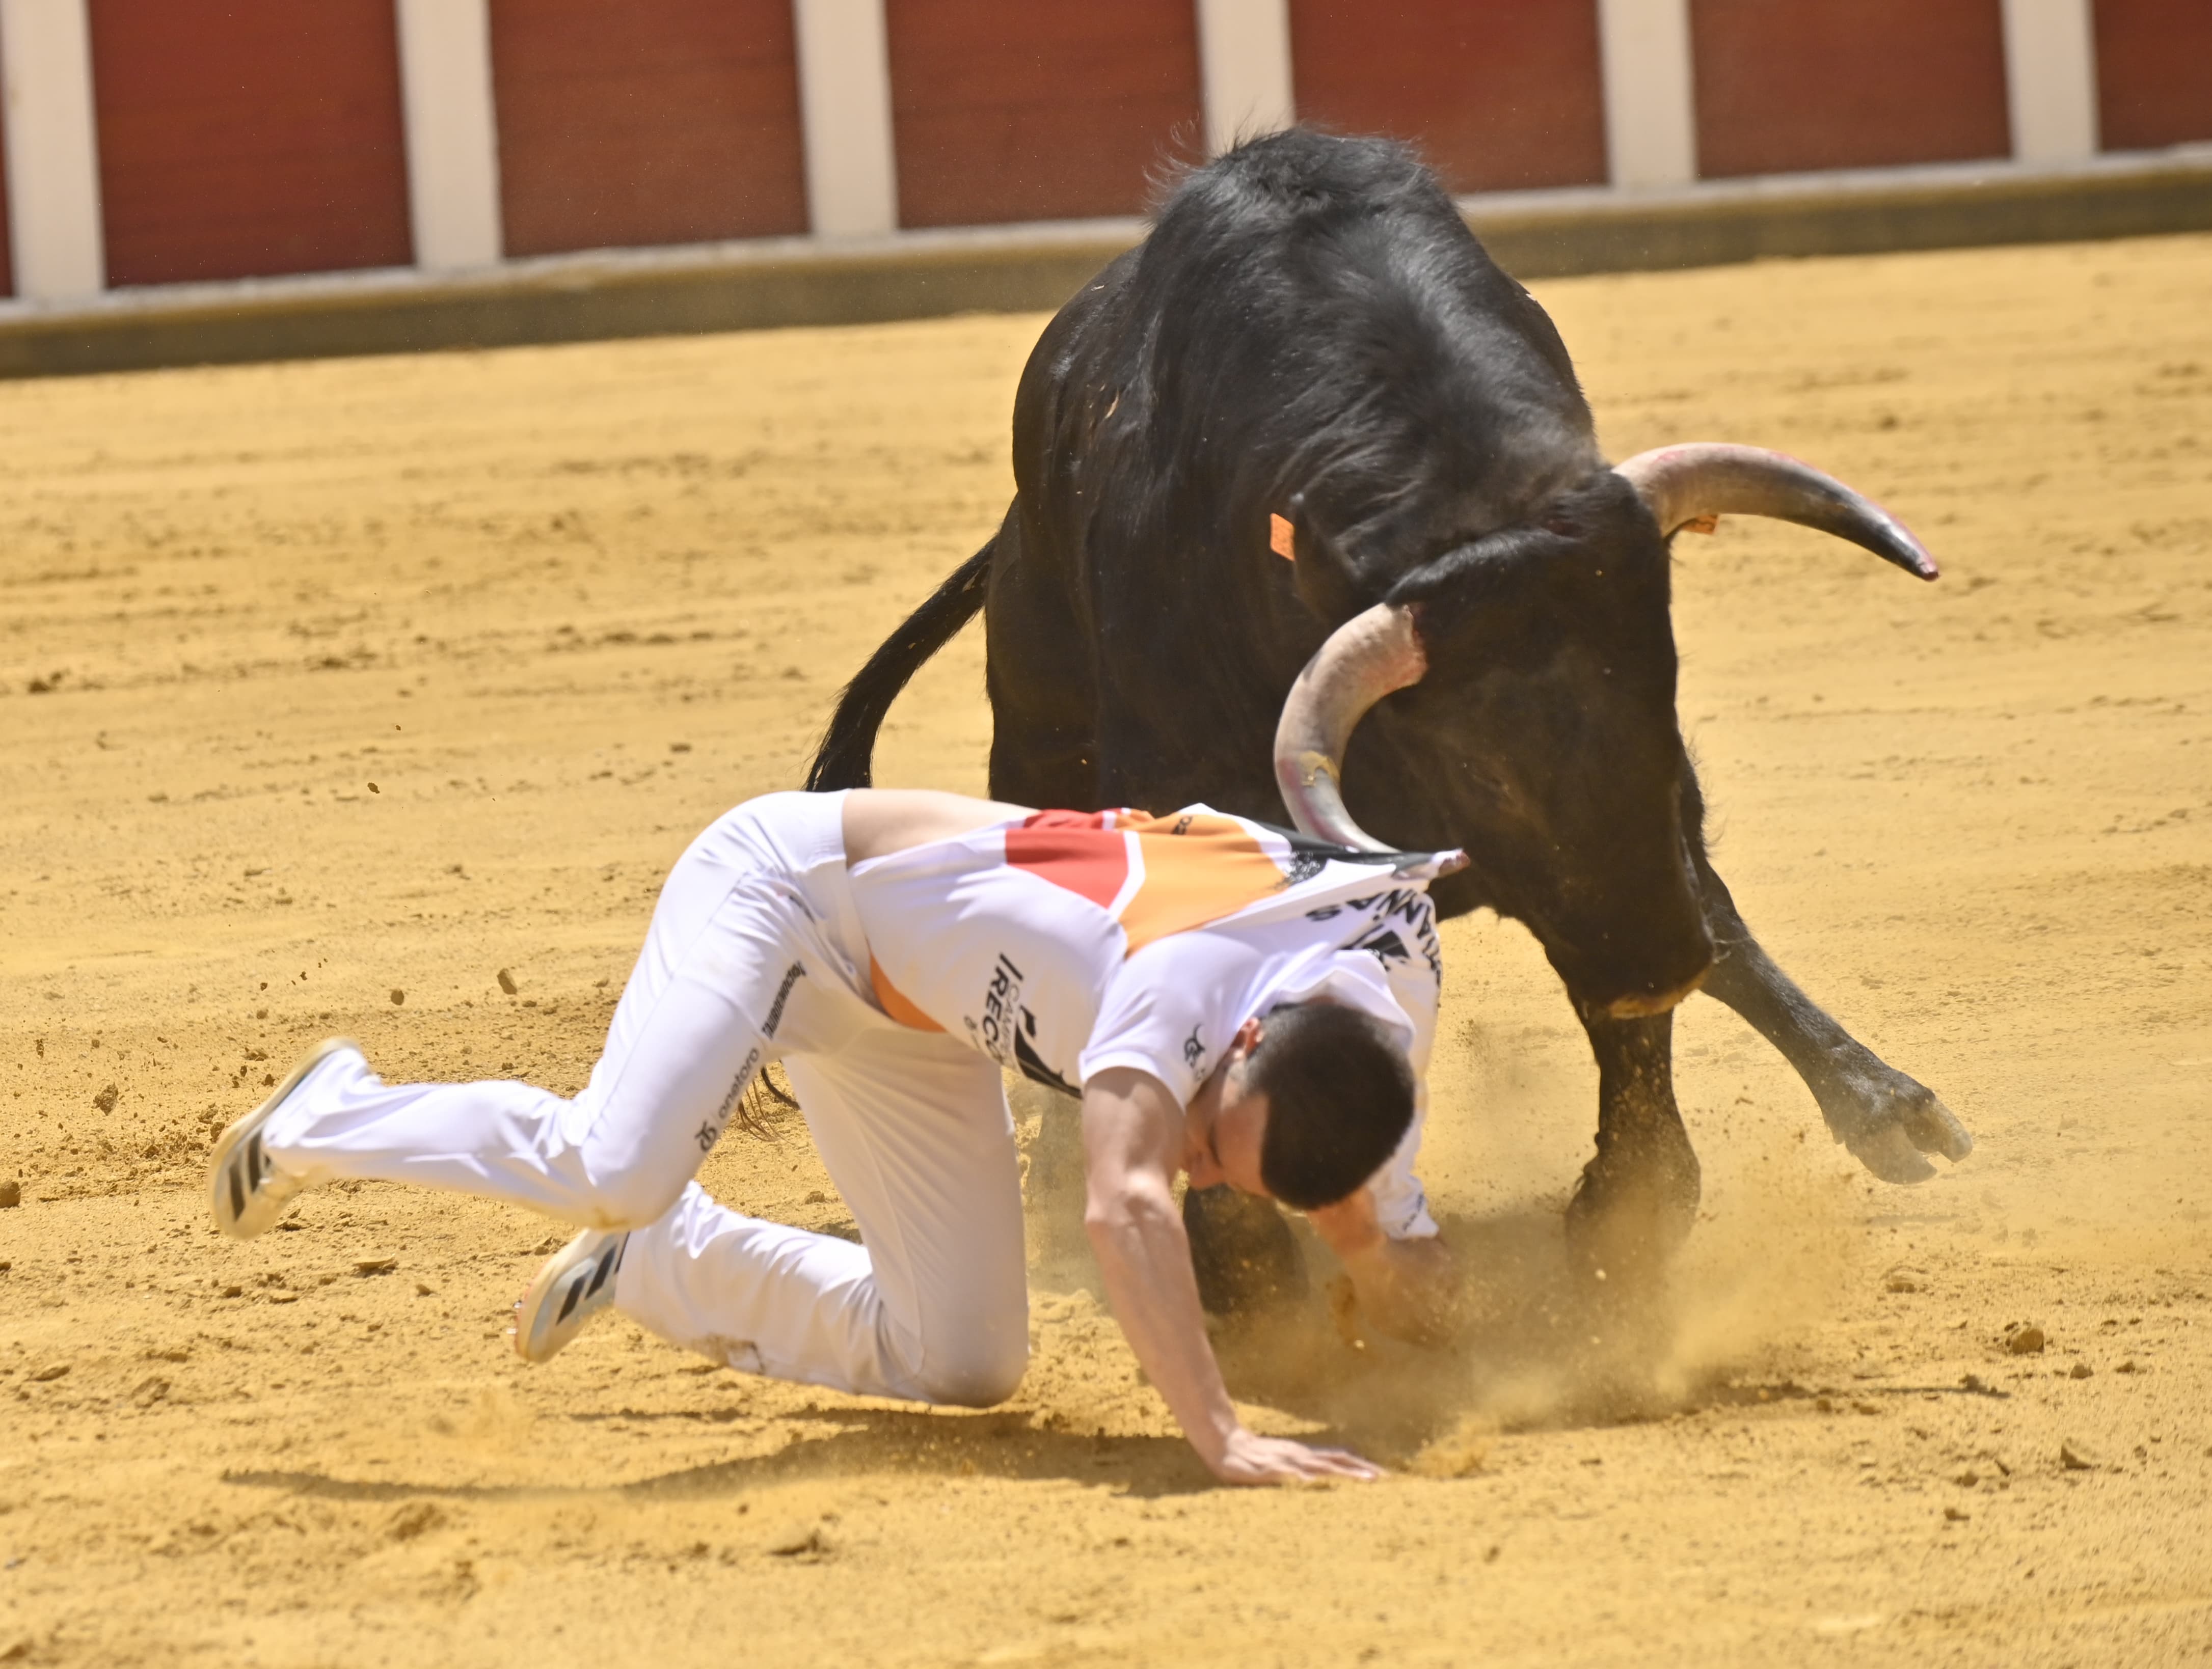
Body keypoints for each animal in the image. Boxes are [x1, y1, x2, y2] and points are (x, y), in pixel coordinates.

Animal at [805, 133, 1982, 1291]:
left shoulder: (1626, 849)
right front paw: (1238, 1263)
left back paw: (1882, 1103)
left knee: (1713, 921)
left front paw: (1625, 1213)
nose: (1655, 968)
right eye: (1473, 764)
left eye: (1664, 694)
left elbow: (1651, 990)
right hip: (1036, 734)